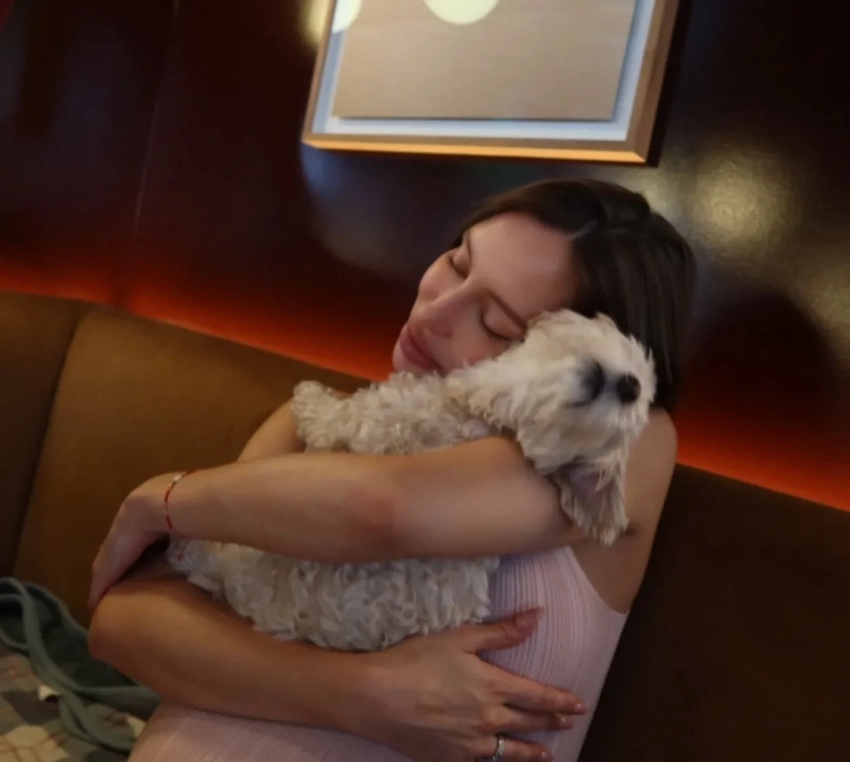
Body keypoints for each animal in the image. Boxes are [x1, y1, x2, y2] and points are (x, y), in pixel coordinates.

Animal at [168, 309, 656, 651]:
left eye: (623, 424)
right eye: (633, 368)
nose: (630, 386)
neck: (488, 416)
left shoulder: (382, 418)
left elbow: (338, 417)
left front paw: (311, 399)